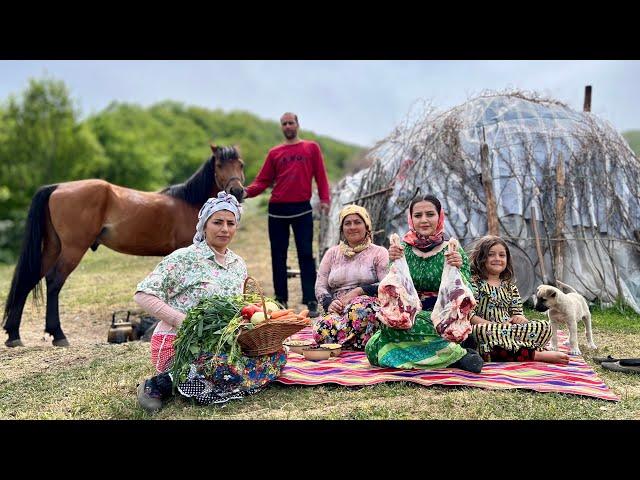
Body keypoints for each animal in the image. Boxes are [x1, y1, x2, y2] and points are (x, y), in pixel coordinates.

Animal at [2, 144, 245, 346]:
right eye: (220, 165)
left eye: (240, 164)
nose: (237, 192)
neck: (188, 202)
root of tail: (57, 187)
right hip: (72, 248)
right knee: (53, 281)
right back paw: (58, 335)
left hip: (53, 247)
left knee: (29, 279)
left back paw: (13, 335)